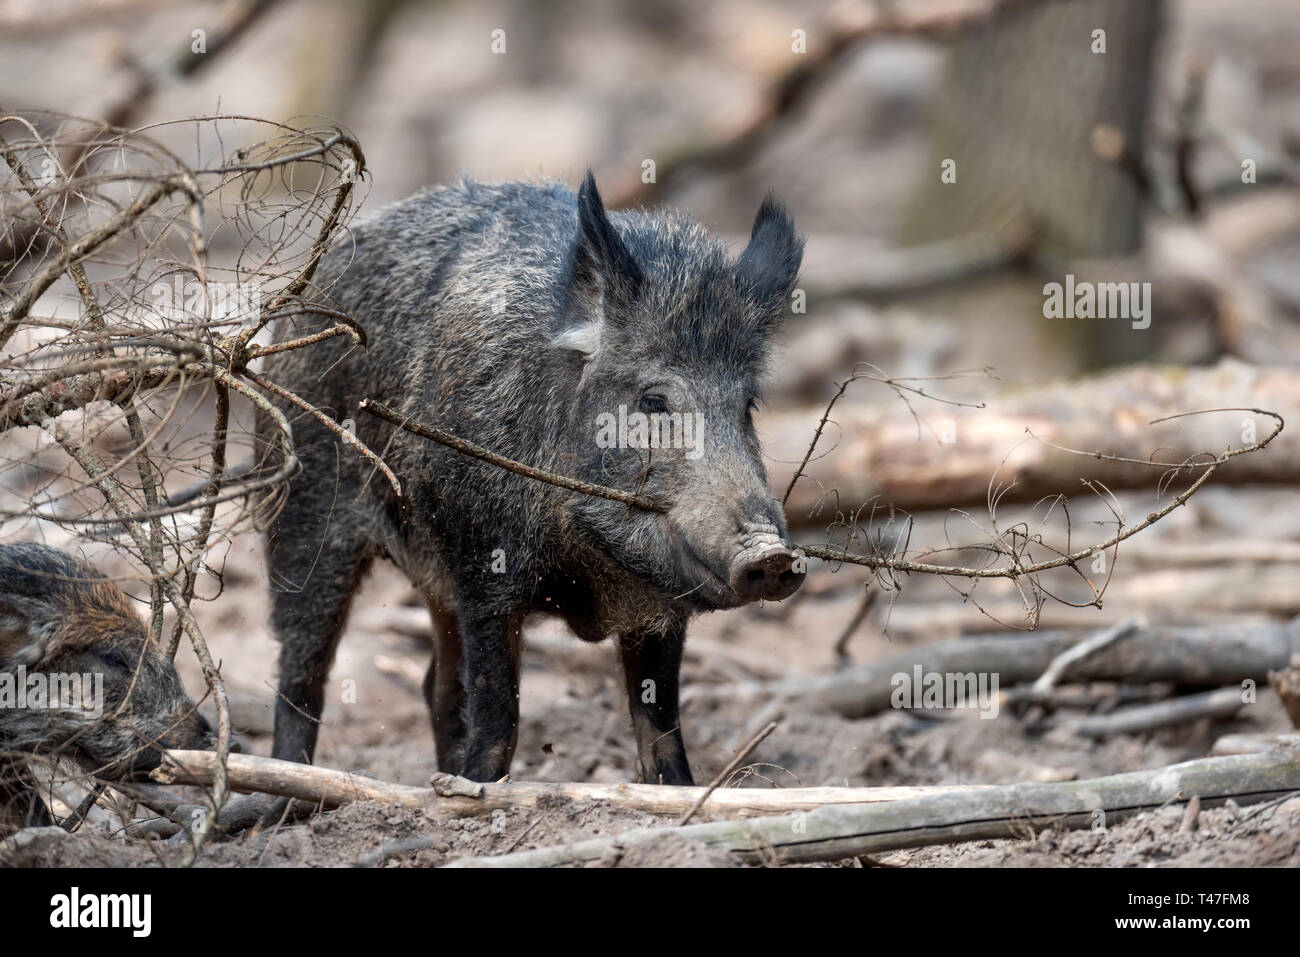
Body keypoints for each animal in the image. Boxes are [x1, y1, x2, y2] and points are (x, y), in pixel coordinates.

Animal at [259, 172, 805, 784]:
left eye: (748, 407)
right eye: (653, 401)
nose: (773, 555)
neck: (588, 561)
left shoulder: (660, 611)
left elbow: (661, 732)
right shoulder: (483, 569)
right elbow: (500, 720)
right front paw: (478, 789)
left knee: (435, 688)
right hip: (302, 511)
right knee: (302, 671)